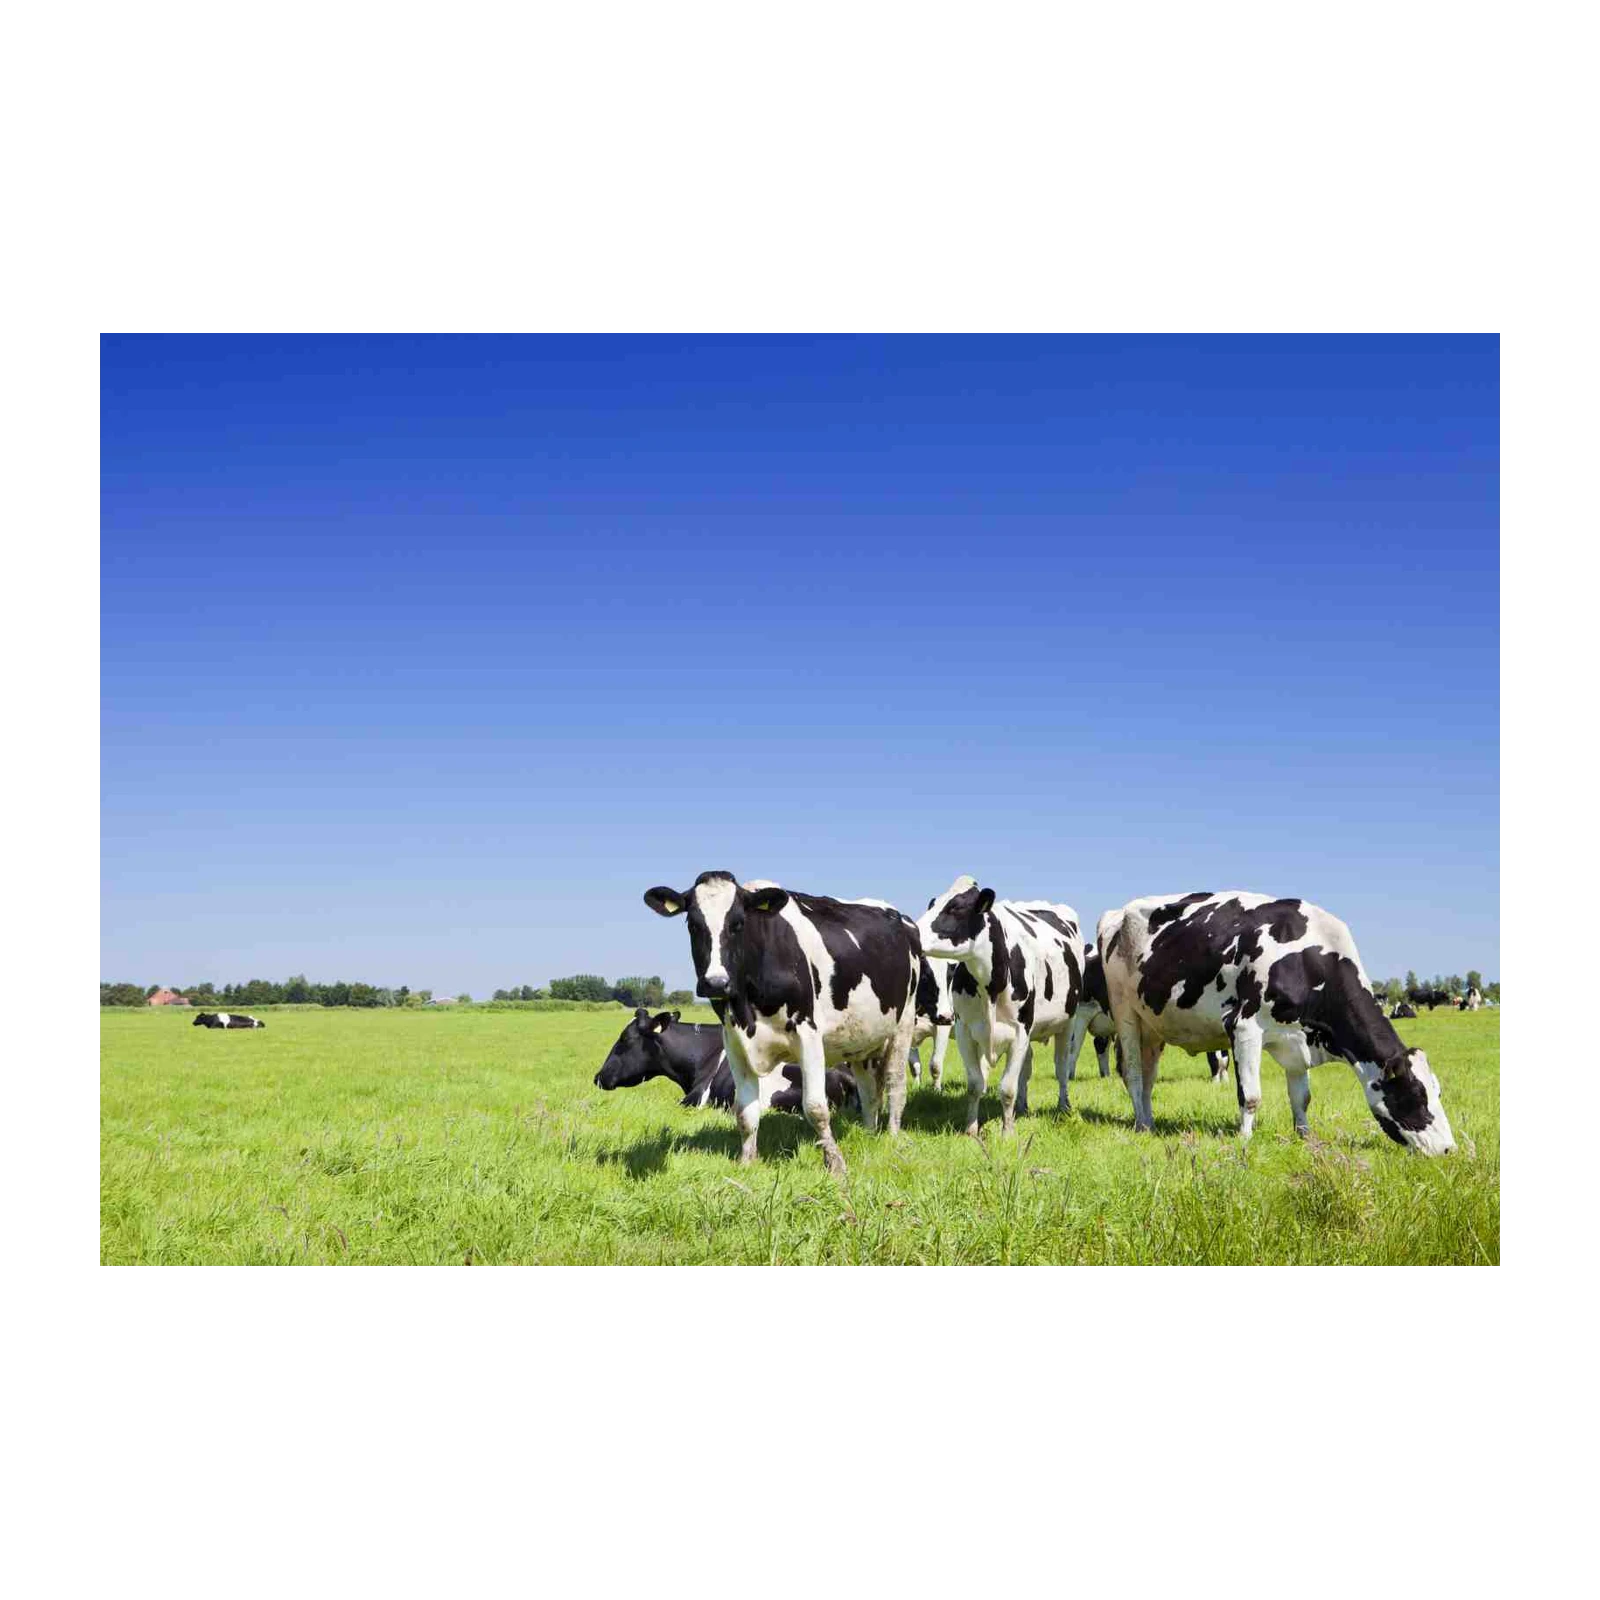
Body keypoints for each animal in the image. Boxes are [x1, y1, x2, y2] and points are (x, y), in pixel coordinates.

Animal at [644, 872, 920, 1175]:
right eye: (693, 924)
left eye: (738, 923)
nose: (715, 982)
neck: (748, 1008)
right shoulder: (734, 1042)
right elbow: (745, 1111)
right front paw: (747, 1162)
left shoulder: (808, 1034)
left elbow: (815, 1107)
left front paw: (835, 1164)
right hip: (862, 1039)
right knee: (869, 1089)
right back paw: (869, 1132)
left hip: (904, 1022)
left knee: (895, 1081)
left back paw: (892, 1136)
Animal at [914, 876, 1084, 1137]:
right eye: (933, 905)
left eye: (955, 908)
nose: (911, 931)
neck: (991, 985)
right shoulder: (964, 1031)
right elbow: (976, 1084)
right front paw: (971, 1129)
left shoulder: (1020, 1031)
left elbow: (1007, 1088)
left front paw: (1008, 1133)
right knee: (1027, 1067)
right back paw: (1022, 1108)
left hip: (1068, 1022)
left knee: (1062, 1067)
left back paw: (1063, 1107)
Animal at [1098, 893, 1455, 1155]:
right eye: (1415, 1094)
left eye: (1437, 1091)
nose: (1449, 1149)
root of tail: (1118, 912)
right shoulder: (1243, 1027)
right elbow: (1251, 1095)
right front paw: (1244, 1140)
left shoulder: (1298, 1040)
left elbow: (1302, 1098)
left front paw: (1305, 1137)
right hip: (1125, 1013)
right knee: (1133, 1073)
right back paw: (1142, 1126)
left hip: (1153, 1026)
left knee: (1148, 1078)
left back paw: (1149, 1121)